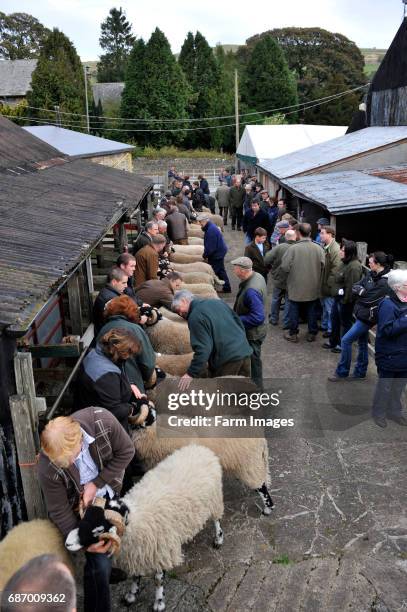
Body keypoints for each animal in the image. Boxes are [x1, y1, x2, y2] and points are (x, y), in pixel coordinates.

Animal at [118, 444, 225, 612]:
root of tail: (199, 447)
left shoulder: (160, 547)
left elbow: (158, 579)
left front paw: (159, 602)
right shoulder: (137, 552)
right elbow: (135, 575)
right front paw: (131, 595)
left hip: (214, 499)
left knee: (217, 520)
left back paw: (218, 539)